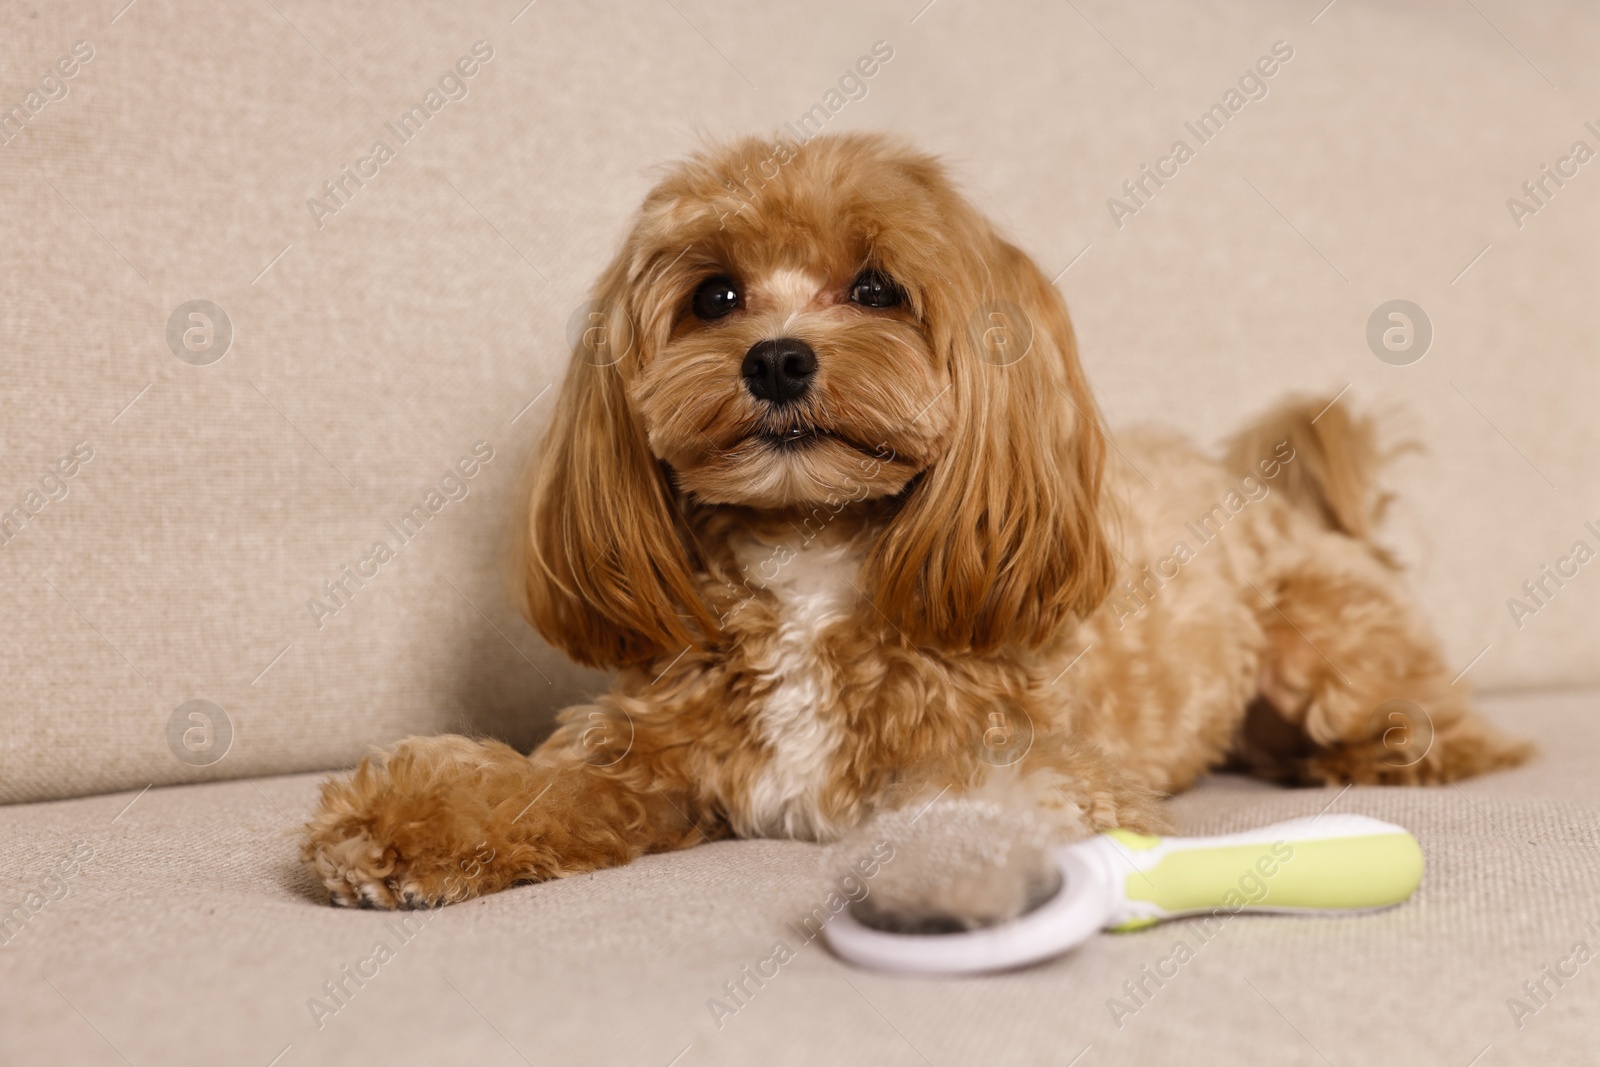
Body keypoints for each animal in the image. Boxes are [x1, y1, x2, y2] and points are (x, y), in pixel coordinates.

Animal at [302, 131, 1536, 908]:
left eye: (875, 288)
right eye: (715, 295)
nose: (777, 358)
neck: (815, 555)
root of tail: (1262, 487)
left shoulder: (1027, 753)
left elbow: (1013, 799)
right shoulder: (640, 754)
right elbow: (533, 784)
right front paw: (408, 819)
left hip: (1333, 641)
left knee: (1431, 716)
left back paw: (1390, 749)